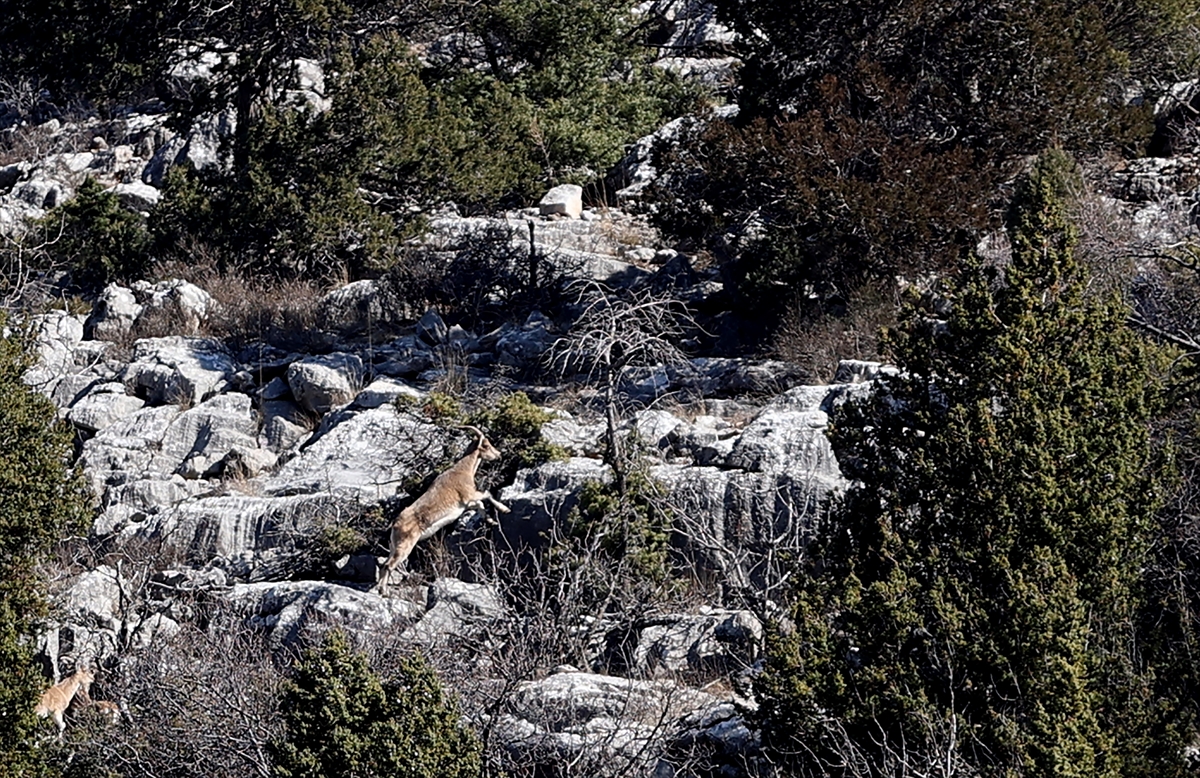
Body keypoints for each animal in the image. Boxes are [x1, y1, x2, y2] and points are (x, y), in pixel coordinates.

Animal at [377, 425, 509, 593]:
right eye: (486, 445)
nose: (498, 454)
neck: (463, 470)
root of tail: (395, 525)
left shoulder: (465, 505)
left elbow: (480, 505)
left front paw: (491, 521)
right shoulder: (469, 494)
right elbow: (487, 494)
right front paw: (504, 509)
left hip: (394, 546)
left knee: (385, 564)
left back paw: (381, 589)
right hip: (405, 546)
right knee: (388, 565)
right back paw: (384, 591)